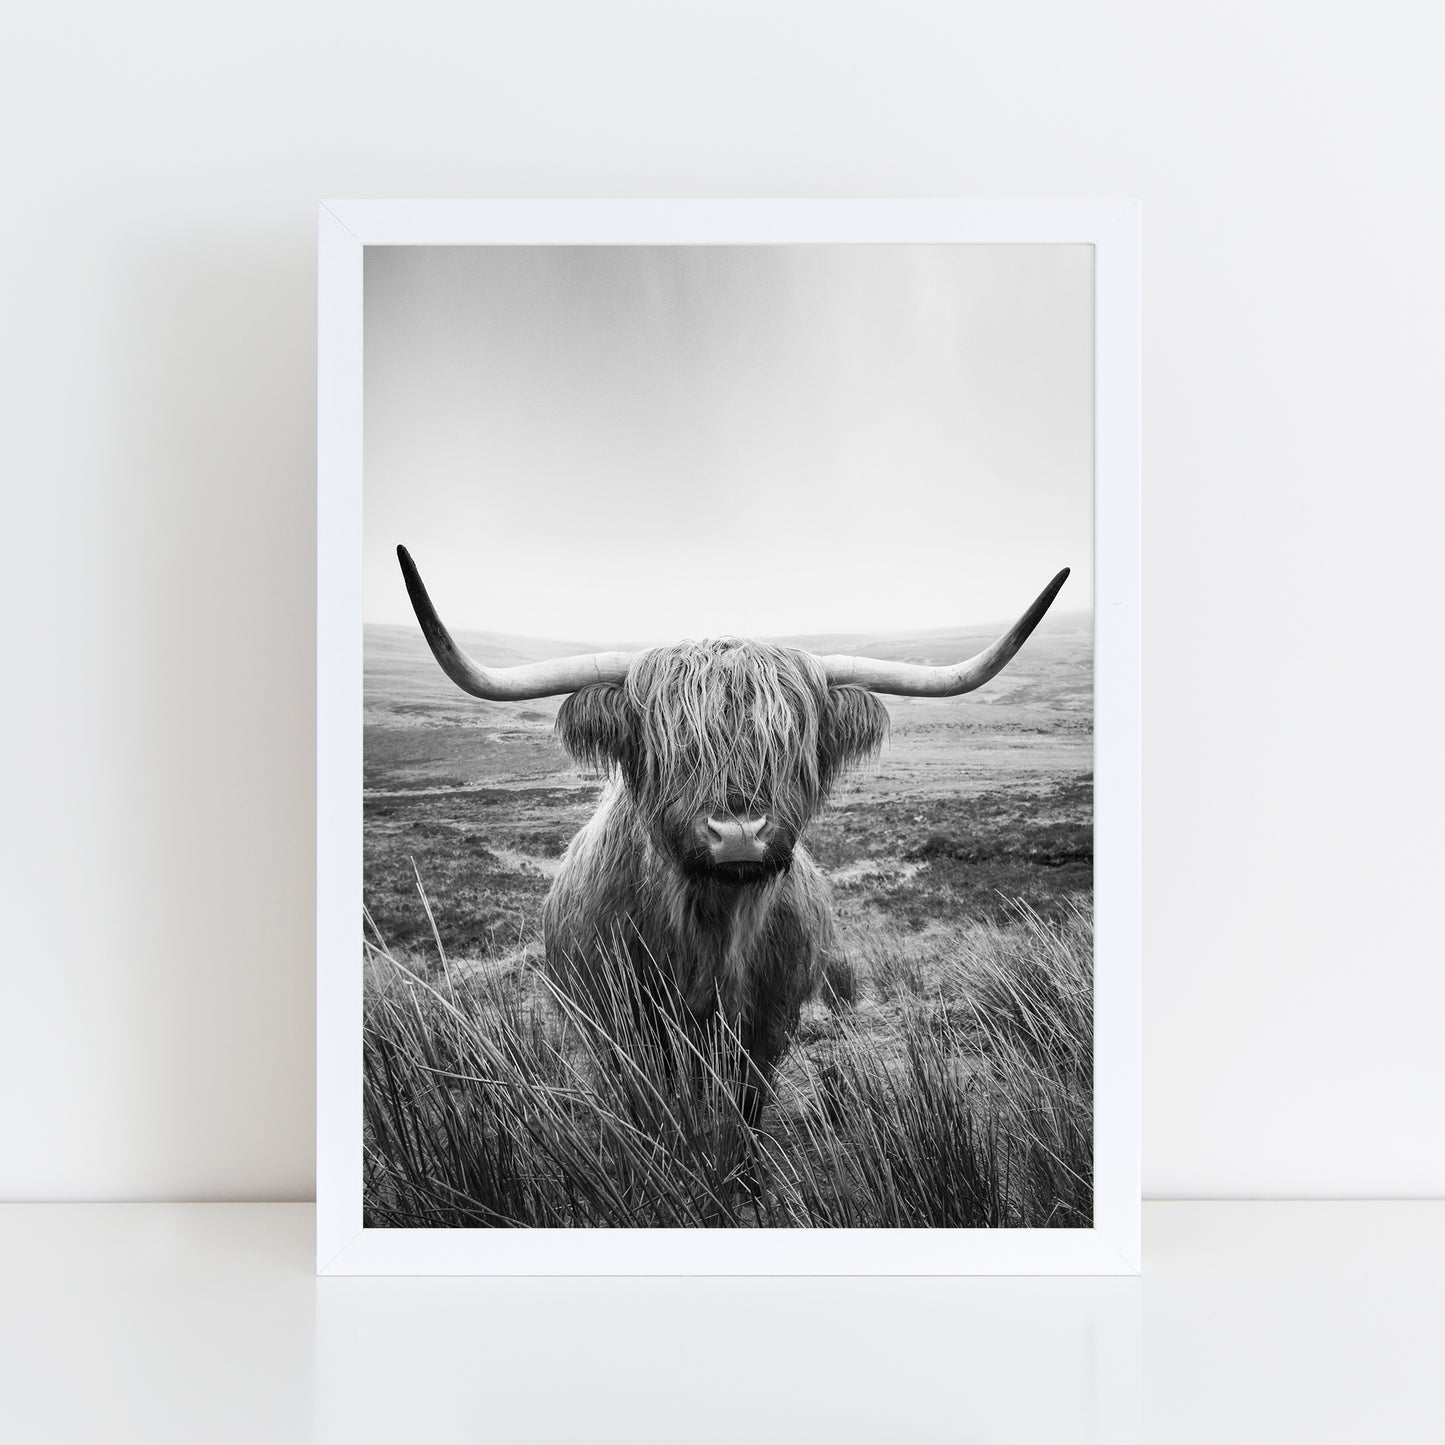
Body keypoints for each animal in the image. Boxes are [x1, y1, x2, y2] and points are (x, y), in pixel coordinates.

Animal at [397, 544, 1068, 1122]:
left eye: (790, 740)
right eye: (669, 743)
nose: (739, 831)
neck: (710, 930)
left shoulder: (768, 1025)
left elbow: (743, 1113)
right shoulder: (622, 1028)